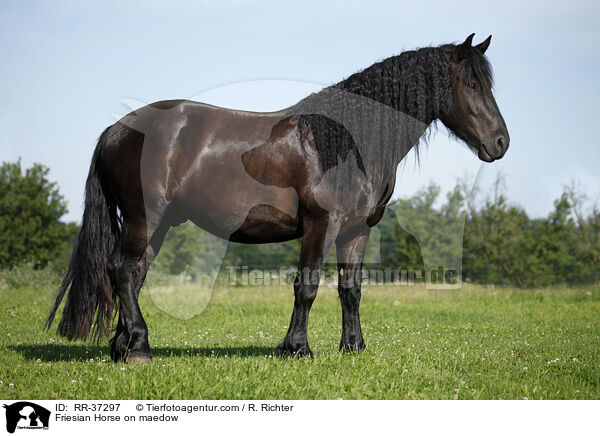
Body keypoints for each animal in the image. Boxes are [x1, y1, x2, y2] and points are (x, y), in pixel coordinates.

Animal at [45, 33, 510, 362]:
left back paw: (123, 346)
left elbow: (351, 289)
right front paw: (296, 348)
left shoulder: (356, 231)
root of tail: (116, 129)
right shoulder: (322, 225)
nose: (501, 143)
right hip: (146, 217)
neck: (345, 143)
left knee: (134, 273)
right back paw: (138, 348)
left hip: (158, 224)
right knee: (122, 271)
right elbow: (307, 285)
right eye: (471, 84)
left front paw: (353, 347)